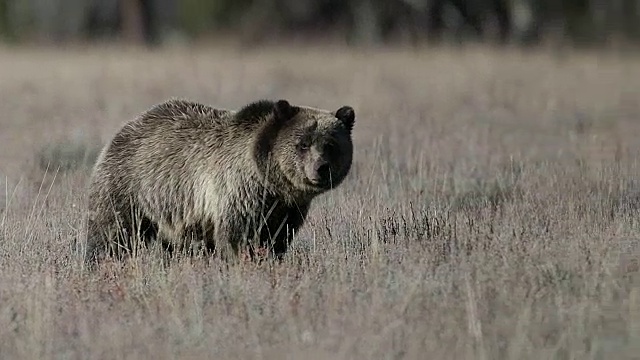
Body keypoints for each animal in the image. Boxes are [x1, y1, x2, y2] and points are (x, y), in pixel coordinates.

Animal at [83, 98, 358, 264]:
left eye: (330, 145)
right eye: (303, 144)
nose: (321, 168)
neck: (271, 182)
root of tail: (125, 127)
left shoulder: (285, 209)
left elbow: (277, 238)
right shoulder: (238, 192)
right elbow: (237, 237)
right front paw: (243, 260)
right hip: (131, 185)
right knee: (112, 232)